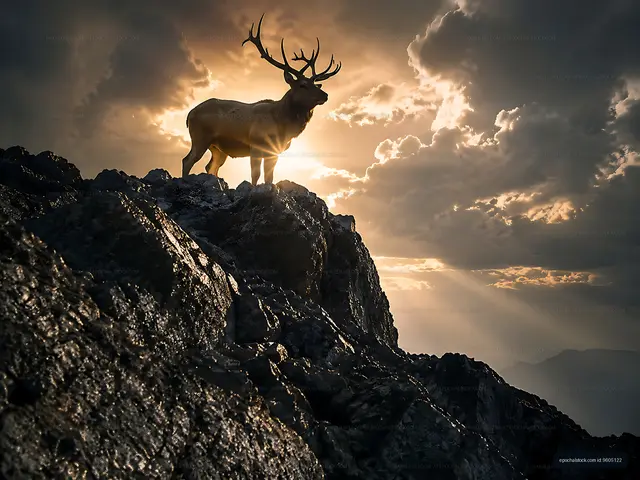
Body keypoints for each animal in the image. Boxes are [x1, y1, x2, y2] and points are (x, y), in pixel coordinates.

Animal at [181, 14, 342, 185]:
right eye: (302, 85)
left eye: (316, 85)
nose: (325, 95)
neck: (282, 124)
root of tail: (190, 114)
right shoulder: (256, 146)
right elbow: (255, 174)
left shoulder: (275, 151)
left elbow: (269, 177)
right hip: (200, 137)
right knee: (187, 160)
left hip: (218, 148)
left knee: (210, 166)